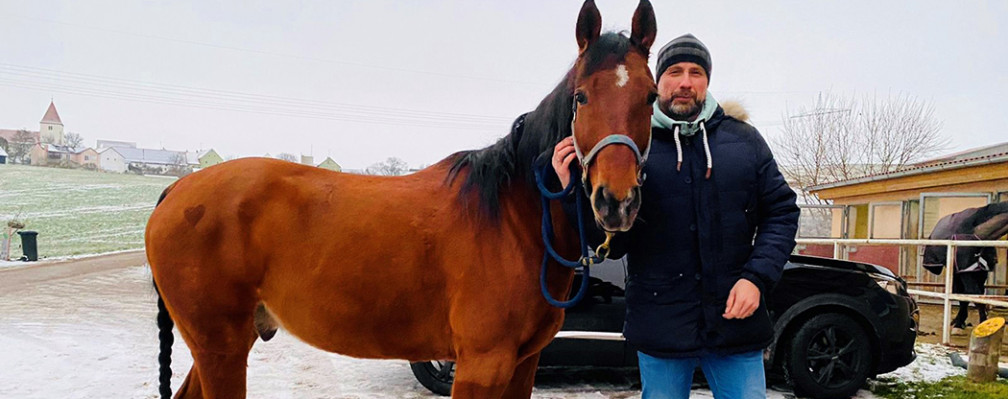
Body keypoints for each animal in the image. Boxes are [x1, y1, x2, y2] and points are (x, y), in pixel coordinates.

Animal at [146, 1, 657, 396]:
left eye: (650, 97)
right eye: (581, 97)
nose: (616, 201)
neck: (513, 219)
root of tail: (176, 190)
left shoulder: (523, 364)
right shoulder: (482, 364)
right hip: (220, 347)